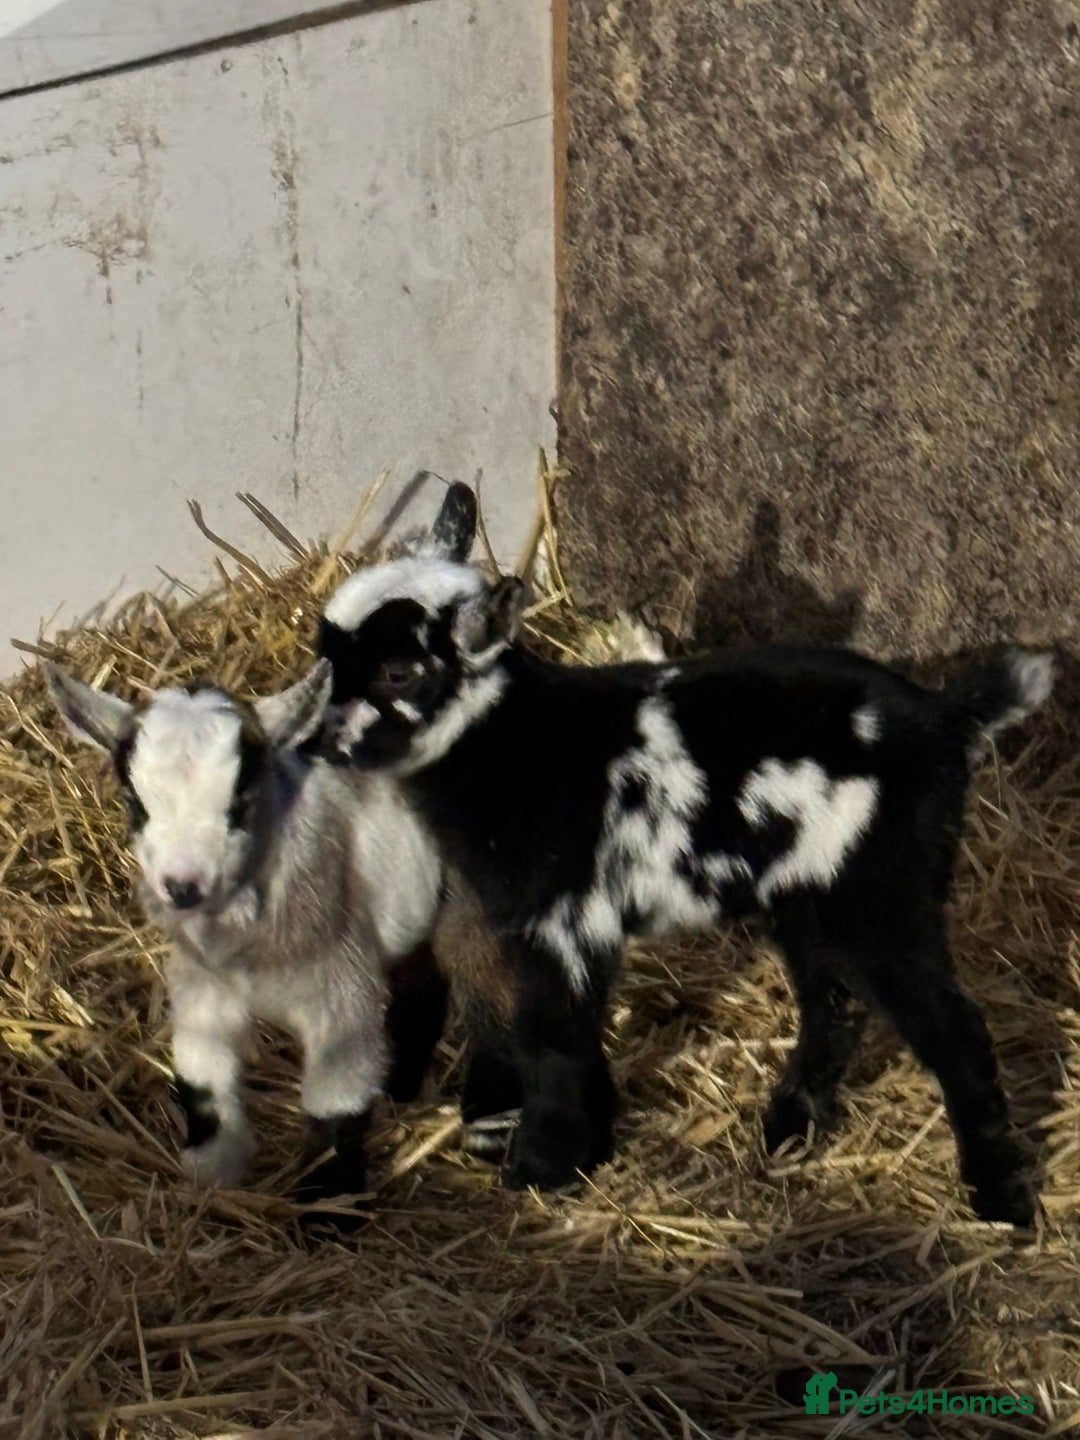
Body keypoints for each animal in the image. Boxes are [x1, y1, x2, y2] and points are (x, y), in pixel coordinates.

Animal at [47, 660, 447, 1209]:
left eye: (240, 800)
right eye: (135, 803)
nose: (183, 887)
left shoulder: (343, 983)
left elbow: (337, 1100)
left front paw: (328, 1205)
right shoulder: (204, 985)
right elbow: (200, 1074)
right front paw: (213, 1172)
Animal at [314, 483, 1053, 1226]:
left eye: (398, 671)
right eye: (325, 648)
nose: (319, 740)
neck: (519, 740)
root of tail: (946, 719)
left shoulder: (564, 917)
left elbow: (551, 1034)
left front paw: (546, 1163)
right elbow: (567, 1030)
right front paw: (587, 1142)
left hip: (883, 888)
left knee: (952, 1028)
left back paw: (999, 1196)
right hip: (809, 895)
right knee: (830, 1002)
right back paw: (792, 1123)